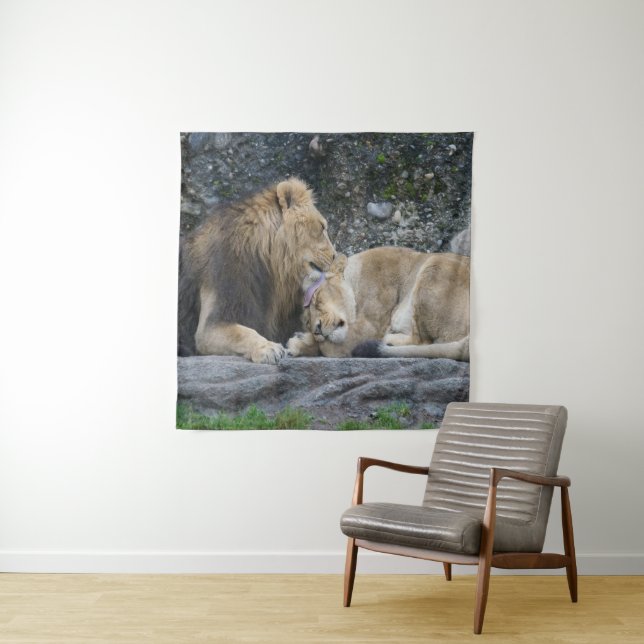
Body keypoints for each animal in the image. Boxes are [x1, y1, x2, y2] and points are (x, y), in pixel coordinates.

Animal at [178, 177, 336, 364]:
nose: (335, 256)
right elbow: (243, 333)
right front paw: (268, 348)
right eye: (322, 227)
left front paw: (300, 342)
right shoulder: (212, 322)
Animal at [286, 246, 469, 361]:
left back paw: (388, 340)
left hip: (434, 265)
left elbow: (328, 347)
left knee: (423, 341)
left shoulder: (370, 327)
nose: (316, 330)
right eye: (307, 322)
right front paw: (302, 340)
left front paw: (300, 342)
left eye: (317, 300)